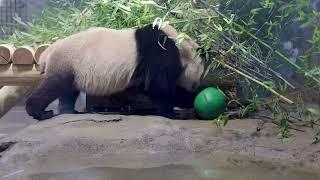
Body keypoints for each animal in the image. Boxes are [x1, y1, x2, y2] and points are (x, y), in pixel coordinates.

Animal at [24, 23, 205, 120]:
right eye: (200, 75)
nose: (196, 87)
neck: (180, 45)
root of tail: (48, 52)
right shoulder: (159, 53)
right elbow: (158, 86)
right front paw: (176, 111)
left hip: (73, 68)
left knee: (68, 91)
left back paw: (70, 111)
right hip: (67, 61)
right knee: (54, 86)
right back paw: (40, 112)